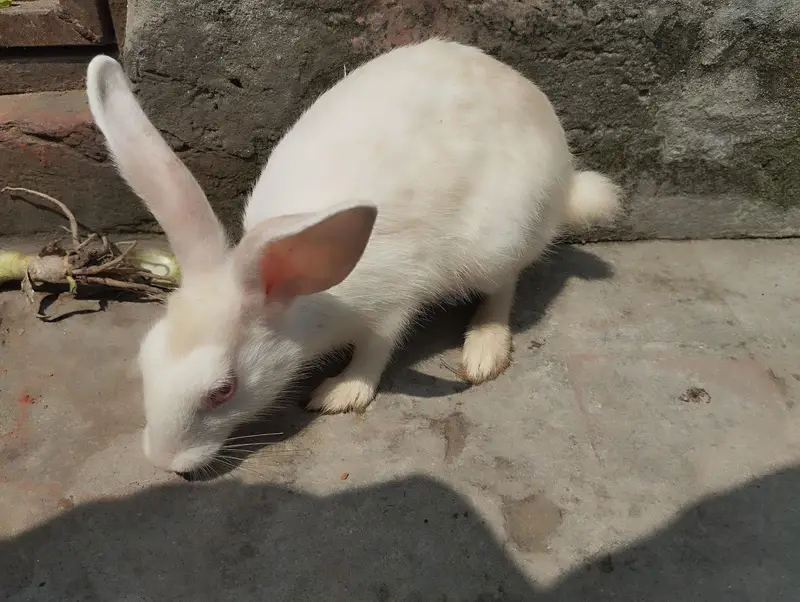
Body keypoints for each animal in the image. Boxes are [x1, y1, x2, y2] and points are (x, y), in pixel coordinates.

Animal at [86, 38, 621, 474]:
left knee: (505, 285)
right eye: (145, 360)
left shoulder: (392, 302)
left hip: (500, 239)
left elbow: (376, 350)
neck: (302, 301)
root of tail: (565, 177)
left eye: (223, 391)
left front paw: (340, 393)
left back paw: (484, 350)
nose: (164, 462)